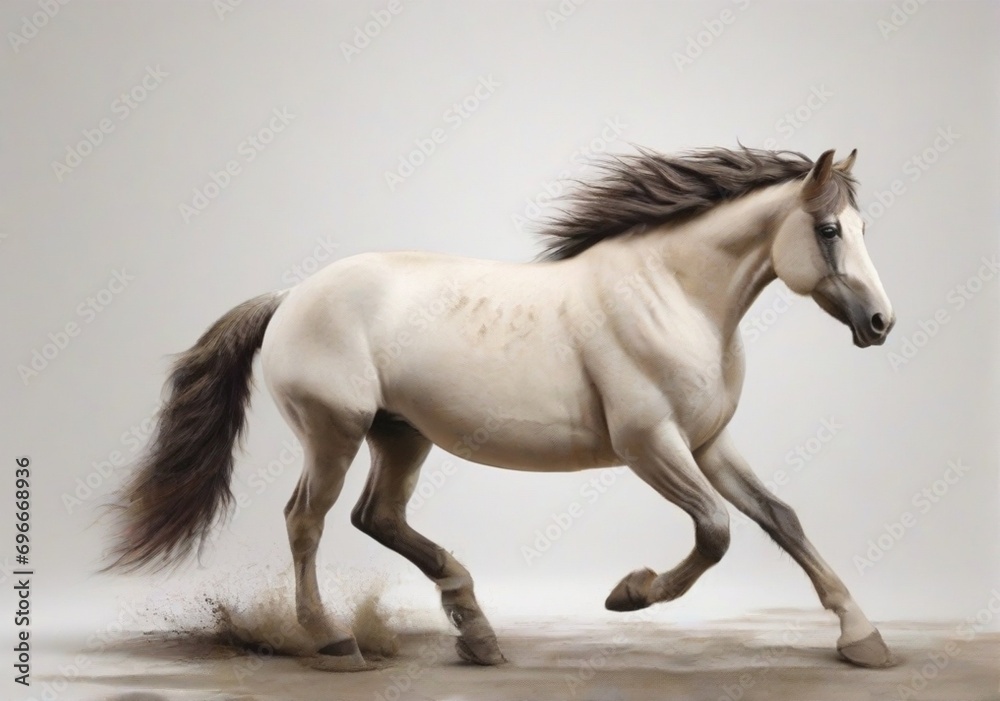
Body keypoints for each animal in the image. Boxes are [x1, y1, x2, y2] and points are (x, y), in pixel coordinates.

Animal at [106, 146, 896, 670]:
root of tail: (290, 296)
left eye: (863, 228)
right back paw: (335, 640)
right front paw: (629, 594)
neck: (673, 296)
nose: (882, 323)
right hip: (334, 431)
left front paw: (863, 638)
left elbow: (780, 520)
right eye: (829, 231)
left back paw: (477, 632)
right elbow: (716, 531)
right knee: (308, 520)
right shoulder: (650, 444)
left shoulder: (708, 442)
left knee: (376, 517)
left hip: (401, 435)